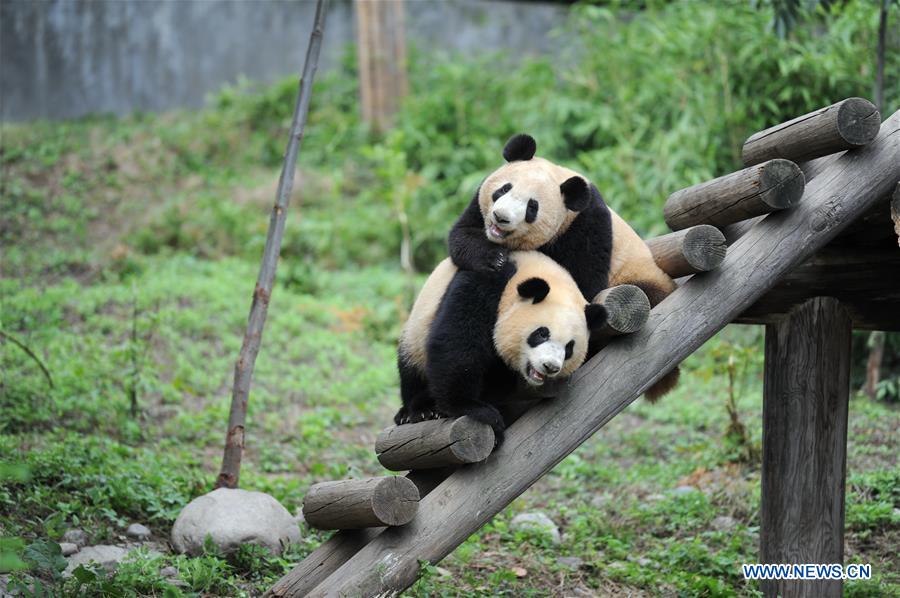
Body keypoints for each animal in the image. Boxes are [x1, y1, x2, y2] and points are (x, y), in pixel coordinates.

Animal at [398, 251, 608, 442]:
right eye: (542, 333)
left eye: (569, 348)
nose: (550, 366)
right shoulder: (487, 281)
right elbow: (458, 341)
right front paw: (474, 409)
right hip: (415, 336)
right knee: (410, 371)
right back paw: (418, 410)